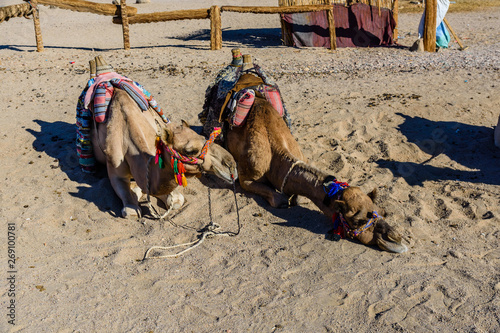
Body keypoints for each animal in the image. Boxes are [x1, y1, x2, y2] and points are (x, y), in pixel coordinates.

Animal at [91, 88, 238, 218]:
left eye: (204, 138)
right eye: (191, 151)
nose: (231, 165)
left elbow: (176, 199)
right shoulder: (114, 167)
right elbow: (131, 211)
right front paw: (134, 196)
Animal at [203, 53, 406, 252]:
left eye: (381, 211)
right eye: (357, 221)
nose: (395, 237)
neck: (275, 155)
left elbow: (296, 198)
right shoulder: (246, 178)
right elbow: (280, 199)